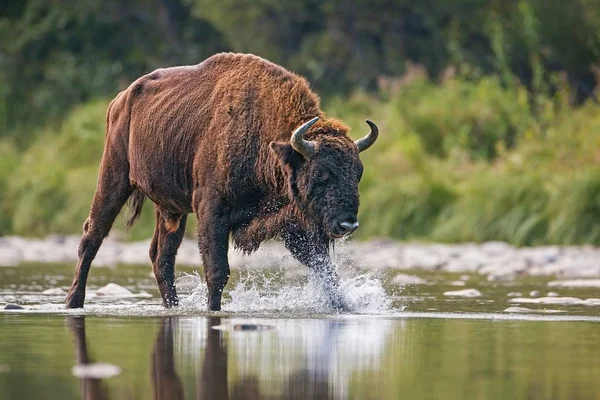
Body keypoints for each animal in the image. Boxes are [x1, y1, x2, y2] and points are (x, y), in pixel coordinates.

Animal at [64, 51, 376, 310]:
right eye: (320, 172)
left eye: (358, 172)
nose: (348, 224)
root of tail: (120, 100)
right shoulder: (212, 212)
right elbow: (217, 271)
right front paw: (213, 310)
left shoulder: (294, 220)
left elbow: (324, 270)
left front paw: (344, 307)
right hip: (114, 178)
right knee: (92, 236)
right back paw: (73, 302)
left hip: (171, 209)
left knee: (161, 258)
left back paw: (172, 306)